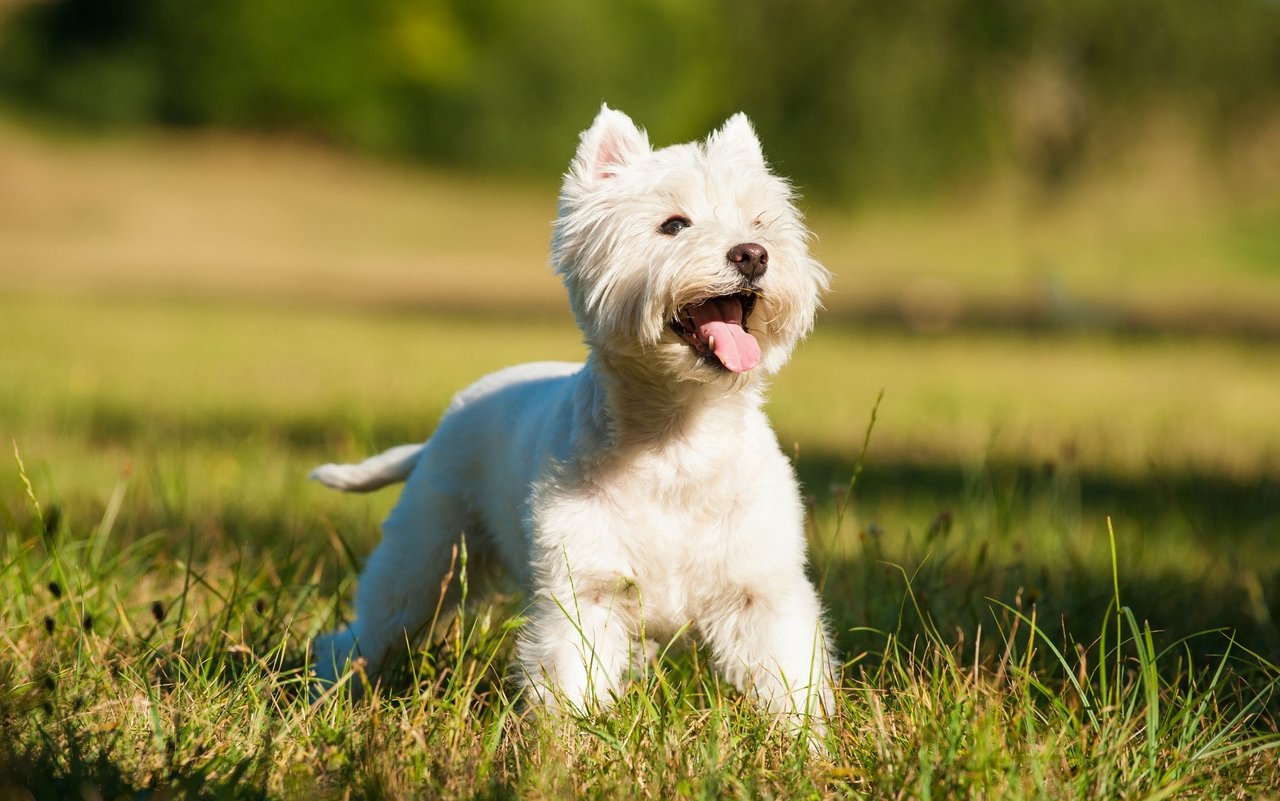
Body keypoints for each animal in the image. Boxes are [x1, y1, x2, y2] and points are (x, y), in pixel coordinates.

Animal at [308, 104, 829, 731]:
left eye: (760, 220)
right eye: (674, 224)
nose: (752, 253)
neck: (678, 437)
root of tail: (440, 429)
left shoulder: (761, 591)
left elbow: (790, 680)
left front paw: (807, 743)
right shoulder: (585, 591)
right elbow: (570, 683)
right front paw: (566, 743)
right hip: (426, 557)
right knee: (365, 632)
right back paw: (331, 693)